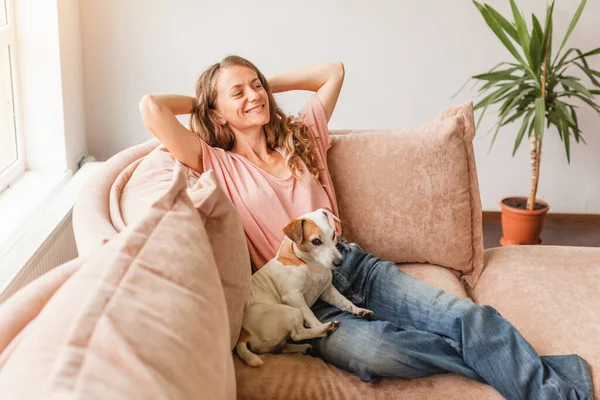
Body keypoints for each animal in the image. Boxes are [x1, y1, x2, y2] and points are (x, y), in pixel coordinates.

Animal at [233, 208, 370, 368]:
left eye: (333, 235)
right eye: (316, 241)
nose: (339, 262)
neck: (311, 264)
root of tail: (243, 334)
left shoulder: (327, 291)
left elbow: (344, 302)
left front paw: (359, 310)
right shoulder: (294, 297)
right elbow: (310, 315)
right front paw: (320, 325)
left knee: (283, 346)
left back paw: (304, 347)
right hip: (290, 311)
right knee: (297, 334)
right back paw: (325, 329)